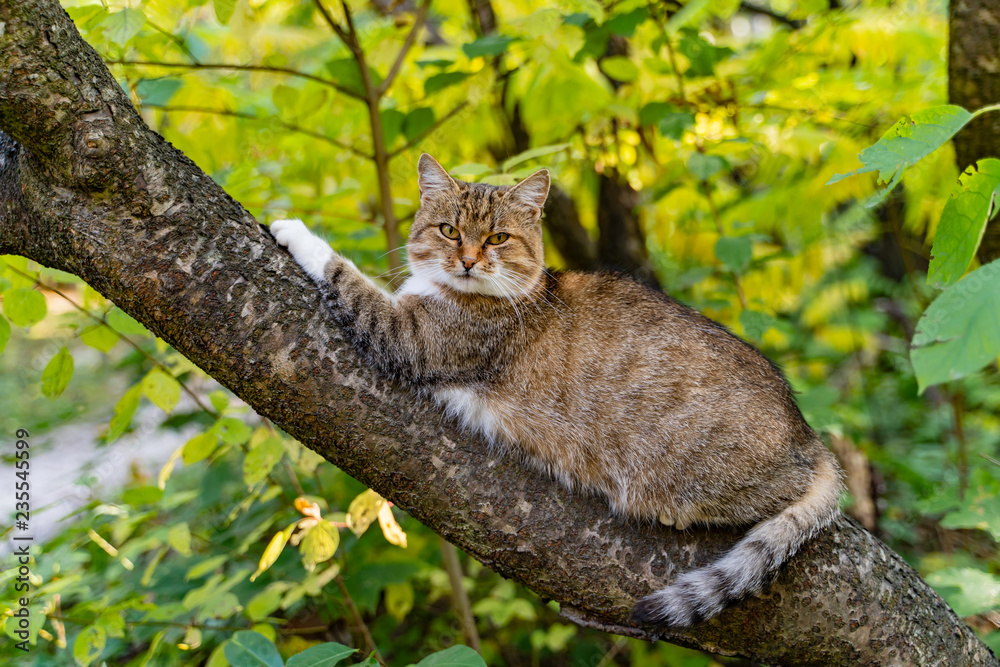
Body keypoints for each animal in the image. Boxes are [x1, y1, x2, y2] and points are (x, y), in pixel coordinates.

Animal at [270, 153, 840, 628]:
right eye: (449, 230)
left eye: (497, 239)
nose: (468, 261)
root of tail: (806, 434)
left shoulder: (410, 338)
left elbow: (345, 273)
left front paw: (294, 229)